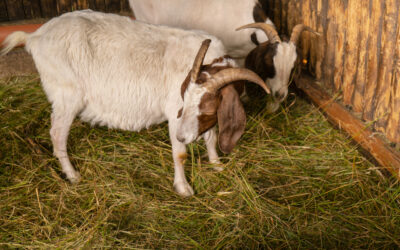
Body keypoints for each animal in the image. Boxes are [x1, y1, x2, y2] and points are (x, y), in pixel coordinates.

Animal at [0, 9, 268, 197]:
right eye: (184, 98)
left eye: (208, 106)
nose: (182, 136)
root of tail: (35, 36)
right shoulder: (175, 113)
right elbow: (180, 154)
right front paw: (184, 188)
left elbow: (211, 136)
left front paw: (216, 164)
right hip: (66, 95)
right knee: (57, 134)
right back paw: (73, 175)